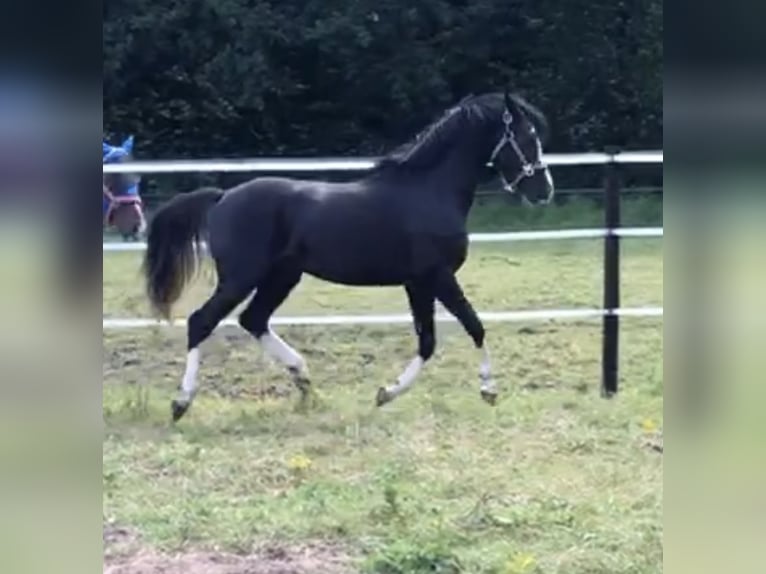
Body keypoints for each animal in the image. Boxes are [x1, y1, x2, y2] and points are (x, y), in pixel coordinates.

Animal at [142, 89, 555, 422]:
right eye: (527, 137)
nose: (544, 190)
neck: (428, 190)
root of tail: (222, 198)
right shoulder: (437, 277)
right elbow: (473, 325)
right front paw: (488, 390)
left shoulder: (417, 283)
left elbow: (428, 340)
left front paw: (385, 393)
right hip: (243, 277)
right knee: (201, 321)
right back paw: (181, 402)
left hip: (281, 276)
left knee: (253, 319)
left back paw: (304, 379)